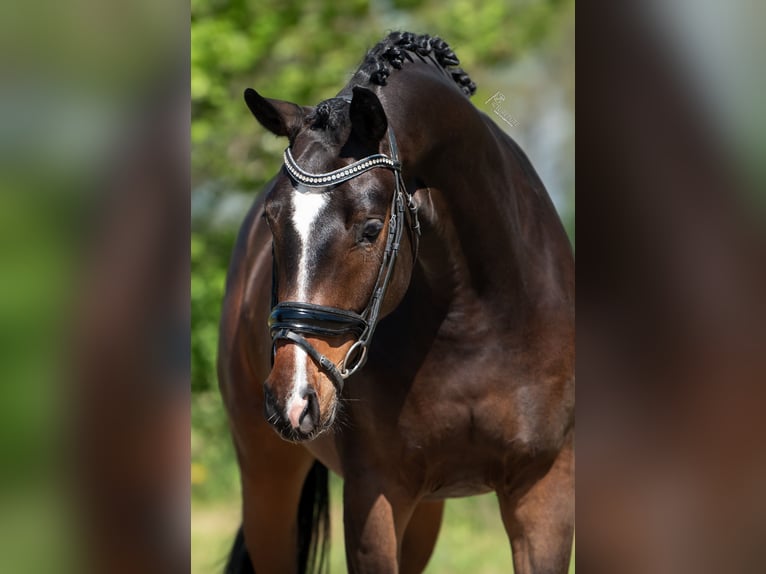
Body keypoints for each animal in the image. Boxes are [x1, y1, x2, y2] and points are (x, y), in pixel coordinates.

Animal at [218, 31, 574, 574]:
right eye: (272, 222)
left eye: (370, 229)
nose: (292, 398)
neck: (476, 322)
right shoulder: (376, 494)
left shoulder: (544, 491)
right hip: (266, 480)